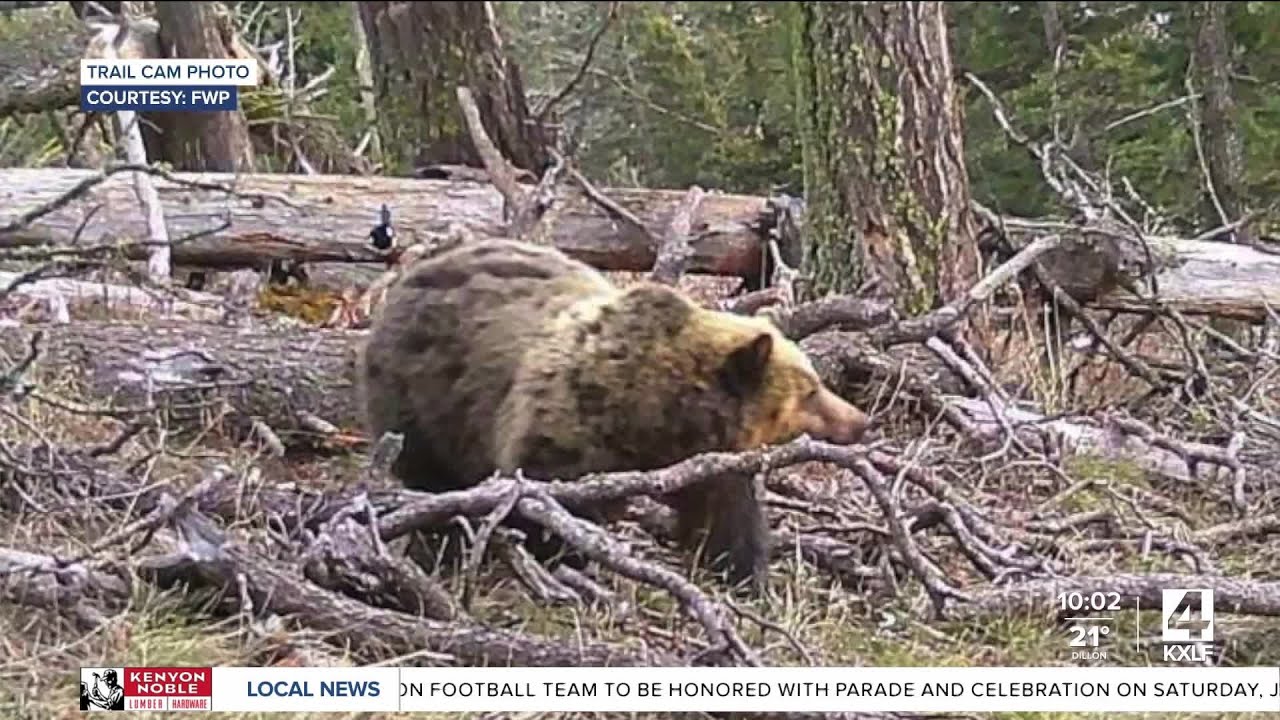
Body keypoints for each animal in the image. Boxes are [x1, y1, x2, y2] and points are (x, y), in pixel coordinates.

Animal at [356, 238, 871, 594]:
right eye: (811, 390)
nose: (860, 421)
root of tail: (409, 277)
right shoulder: (567, 428)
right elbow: (550, 502)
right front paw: (563, 559)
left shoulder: (709, 464)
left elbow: (727, 518)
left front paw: (744, 574)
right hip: (424, 397)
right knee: (430, 472)